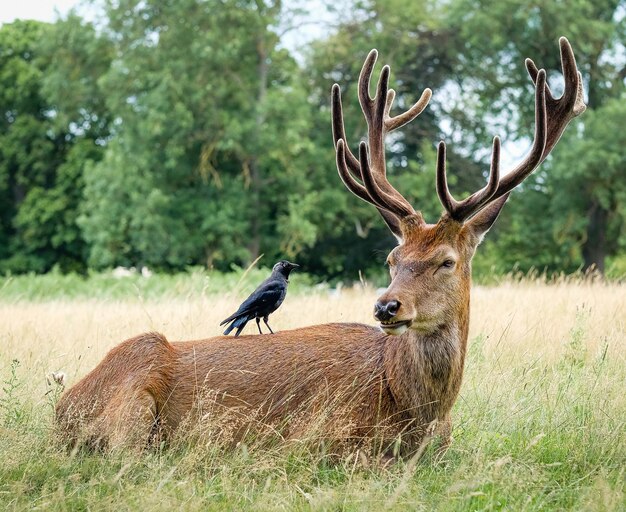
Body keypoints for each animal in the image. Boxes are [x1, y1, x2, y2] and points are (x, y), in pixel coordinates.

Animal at [56, 38, 584, 458]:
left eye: (447, 261)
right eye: (392, 259)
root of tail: (62, 409)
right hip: (135, 399)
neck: (417, 409)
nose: (387, 306)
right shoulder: (318, 436)